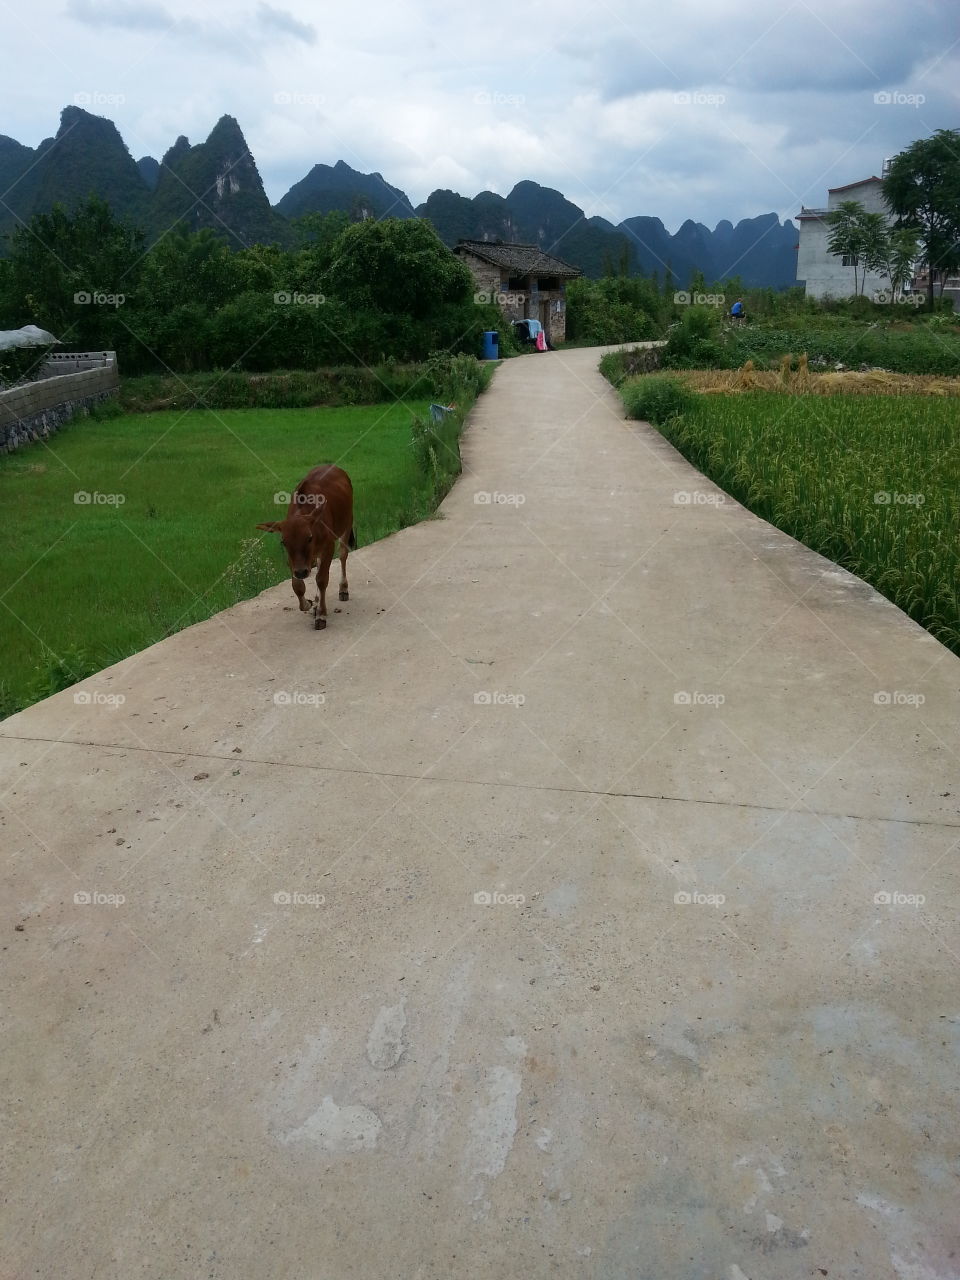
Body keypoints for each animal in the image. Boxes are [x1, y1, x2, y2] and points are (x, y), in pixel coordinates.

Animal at [259, 468, 358, 632]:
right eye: (283, 542)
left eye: (309, 538)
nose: (301, 572)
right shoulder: (292, 559)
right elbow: (297, 586)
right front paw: (309, 604)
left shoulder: (328, 547)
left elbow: (322, 579)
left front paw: (321, 615)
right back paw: (317, 601)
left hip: (347, 522)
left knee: (343, 555)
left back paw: (343, 589)